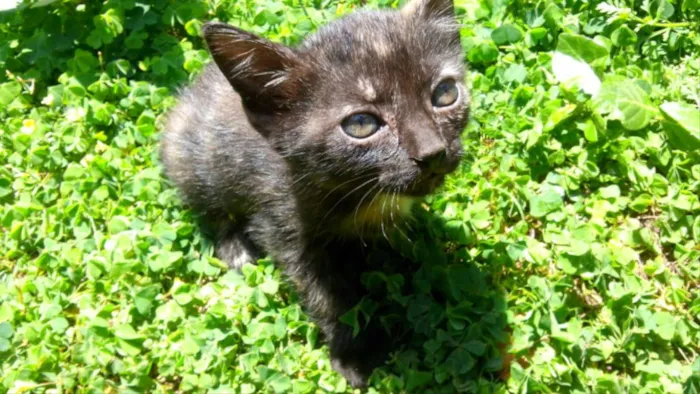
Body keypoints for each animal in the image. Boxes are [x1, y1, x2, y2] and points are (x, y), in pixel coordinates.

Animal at [161, 0, 468, 388]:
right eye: (361, 124)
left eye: (445, 93)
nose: (432, 153)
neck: (355, 192)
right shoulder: (282, 227)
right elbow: (326, 298)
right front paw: (355, 354)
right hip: (193, 161)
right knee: (208, 207)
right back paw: (234, 247)